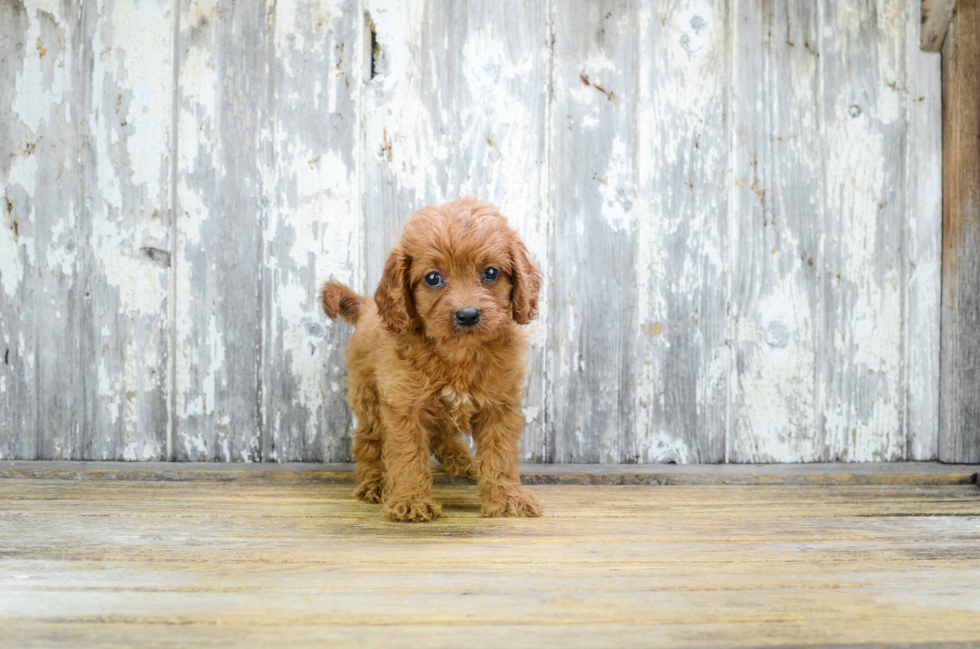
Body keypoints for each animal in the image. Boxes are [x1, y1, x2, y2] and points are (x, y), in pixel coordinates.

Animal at [322, 196, 540, 520]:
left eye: (490, 273)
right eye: (433, 278)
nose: (467, 315)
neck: (458, 353)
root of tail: (367, 306)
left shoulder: (499, 406)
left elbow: (500, 456)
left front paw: (506, 499)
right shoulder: (403, 406)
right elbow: (408, 456)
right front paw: (410, 501)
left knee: (442, 434)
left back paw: (463, 463)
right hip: (368, 397)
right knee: (368, 442)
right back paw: (375, 484)